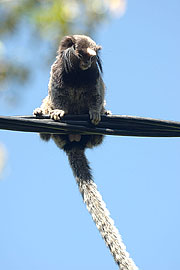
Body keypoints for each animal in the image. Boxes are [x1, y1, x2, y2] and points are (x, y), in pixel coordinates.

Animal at [34, 34, 109, 181]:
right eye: (81, 55)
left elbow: (96, 94)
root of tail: (75, 141)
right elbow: (57, 92)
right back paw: (40, 113)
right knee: (46, 112)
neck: (77, 73)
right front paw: (58, 111)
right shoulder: (58, 70)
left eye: (91, 57)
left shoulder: (94, 73)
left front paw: (95, 112)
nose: (86, 63)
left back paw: (106, 114)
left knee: (97, 138)